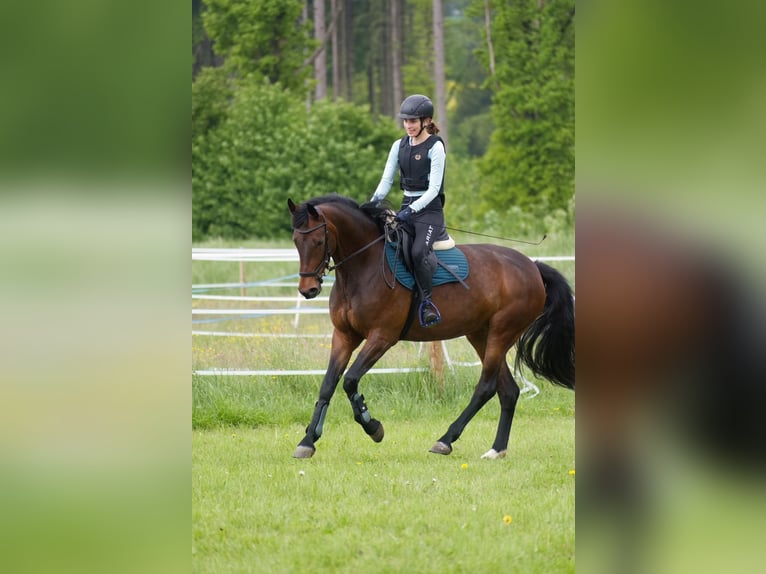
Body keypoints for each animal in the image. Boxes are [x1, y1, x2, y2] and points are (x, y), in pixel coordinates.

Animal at [287, 194, 575, 459]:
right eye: (296, 242)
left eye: (318, 241)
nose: (308, 290)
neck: (363, 268)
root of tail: (532, 267)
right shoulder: (344, 336)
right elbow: (328, 384)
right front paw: (308, 441)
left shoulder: (382, 337)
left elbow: (350, 380)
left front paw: (373, 427)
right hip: (481, 335)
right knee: (508, 391)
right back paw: (496, 450)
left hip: (502, 333)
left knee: (486, 387)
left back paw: (445, 440)